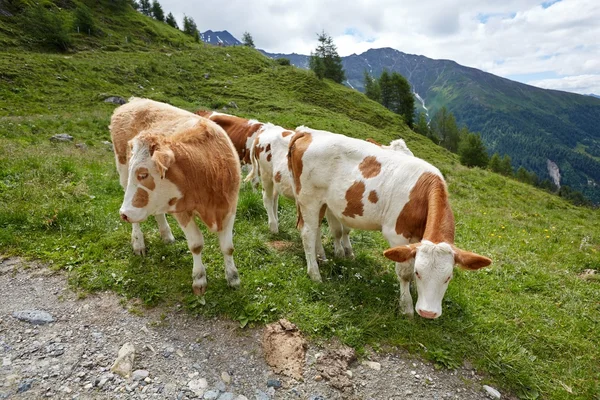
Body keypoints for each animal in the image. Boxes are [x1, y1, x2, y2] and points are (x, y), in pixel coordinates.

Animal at [111, 98, 243, 296]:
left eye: (143, 174)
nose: (123, 214)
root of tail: (135, 101)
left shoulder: (230, 206)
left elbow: (228, 246)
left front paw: (233, 278)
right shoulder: (181, 209)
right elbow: (196, 244)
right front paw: (199, 279)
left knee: (157, 212)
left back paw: (166, 234)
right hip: (122, 171)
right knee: (136, 219)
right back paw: (138, 243)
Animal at [288, 126, 490, 320]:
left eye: (448, 277)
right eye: (419, 273)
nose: (428, 313)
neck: (422, 193)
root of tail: (308, 132)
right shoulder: (397, 235)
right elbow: (404, 273)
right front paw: (406, 306)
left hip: (322, 202)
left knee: (315, 229)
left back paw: (321, 258)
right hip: (309, 198)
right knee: (308, 233)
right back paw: (315, 273)